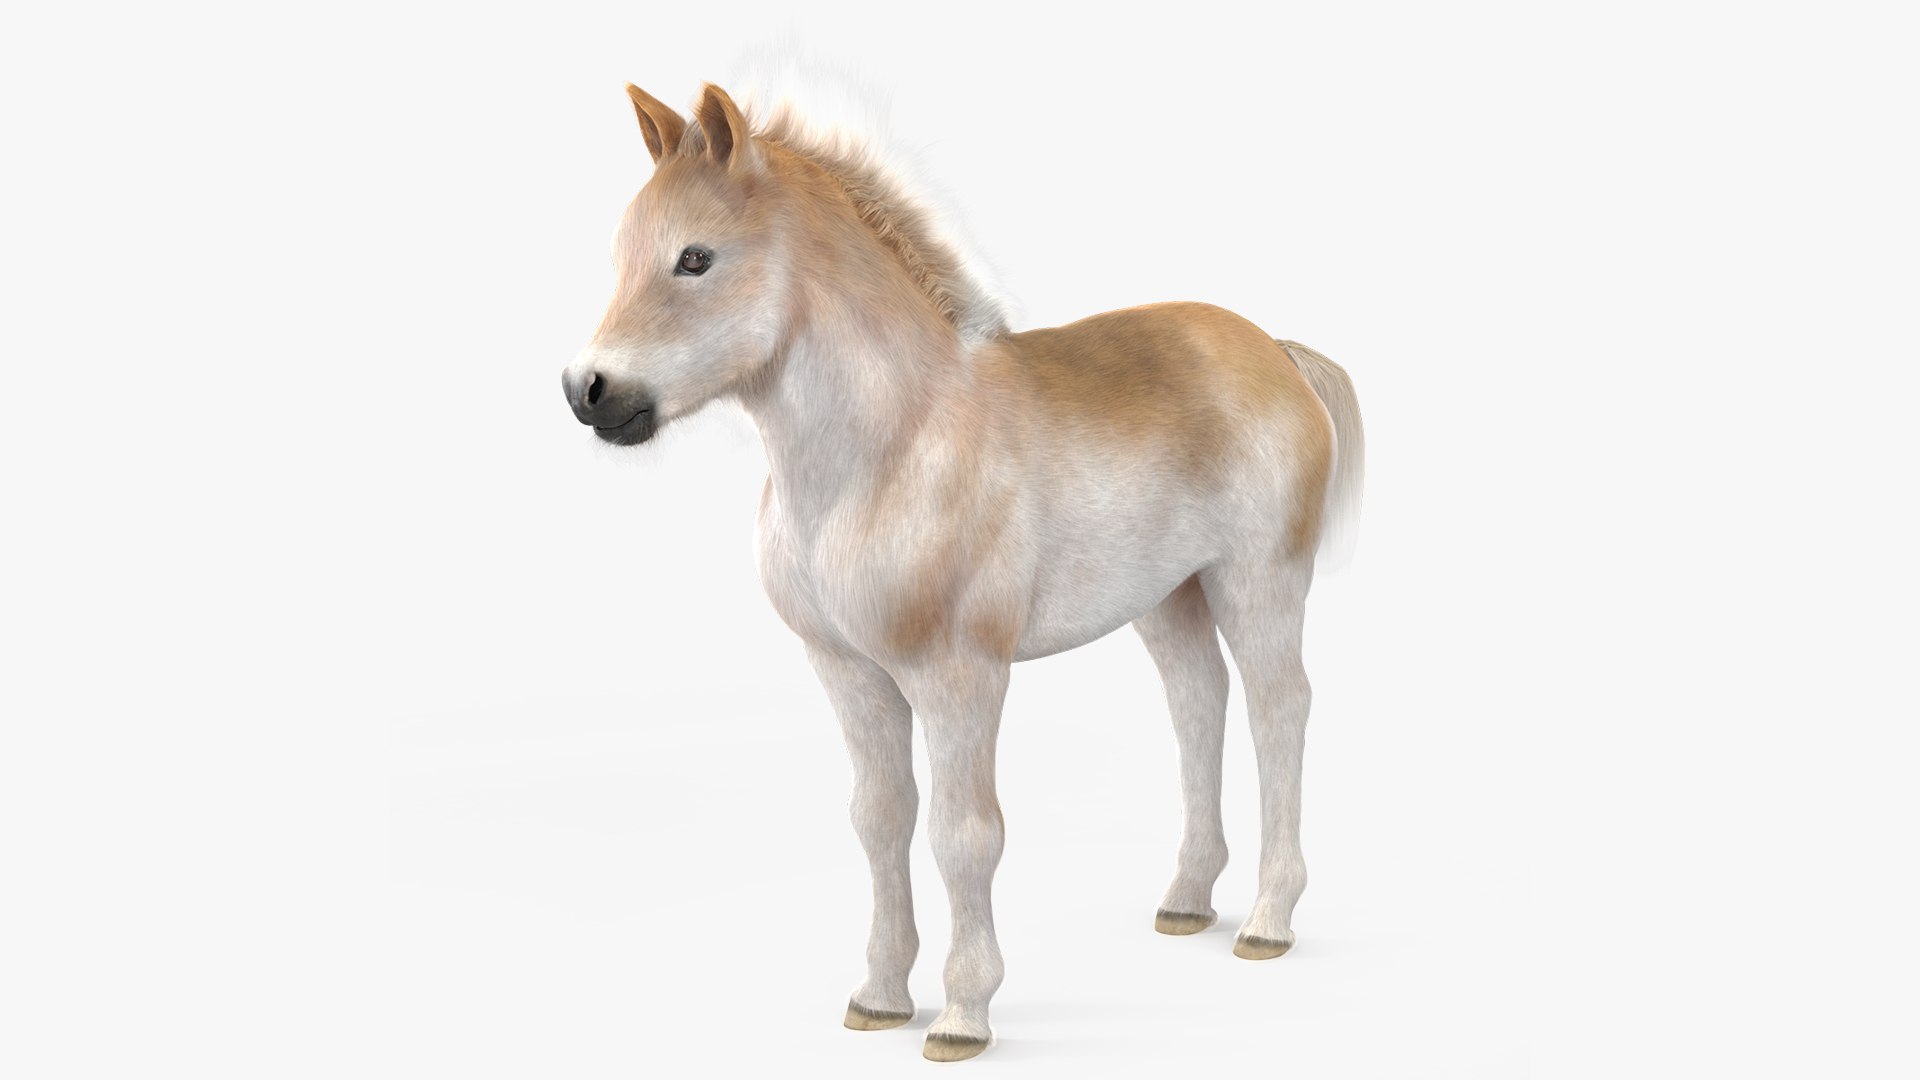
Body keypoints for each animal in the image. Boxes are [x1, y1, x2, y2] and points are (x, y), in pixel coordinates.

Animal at [560, 82, 1364, 1062]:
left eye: (695, 258)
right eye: (620, 253)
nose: (590, 391)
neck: (888, 451)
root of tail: (1276, 349)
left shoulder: (960, 674)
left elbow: (963, 833)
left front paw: (961, 1015)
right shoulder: (849, 672)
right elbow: (879, 819)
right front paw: (877, 996)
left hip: (1259, 580)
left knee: (1278, 710)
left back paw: (1267, 920)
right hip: (1169, 598)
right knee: (1197, 707)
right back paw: (1185, 901)